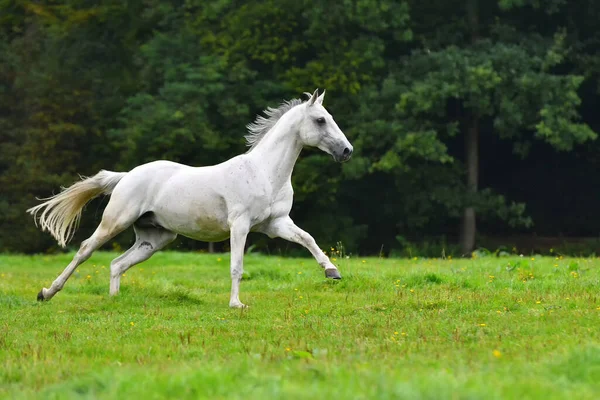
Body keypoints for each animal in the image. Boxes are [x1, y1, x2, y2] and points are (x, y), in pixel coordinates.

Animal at [28, 89, 354, 308]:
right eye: (320, 120)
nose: (347, 151)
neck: (264, 172)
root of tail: (127, 175)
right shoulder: (240, 225)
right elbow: (237, 265)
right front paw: (236, 304)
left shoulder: (276, 224)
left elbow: (308, 239)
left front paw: (333, 272)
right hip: (115, 222)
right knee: (85, 250)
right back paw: (46, 293)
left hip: (155, 239)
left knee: (117, 264)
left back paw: (114, 301)